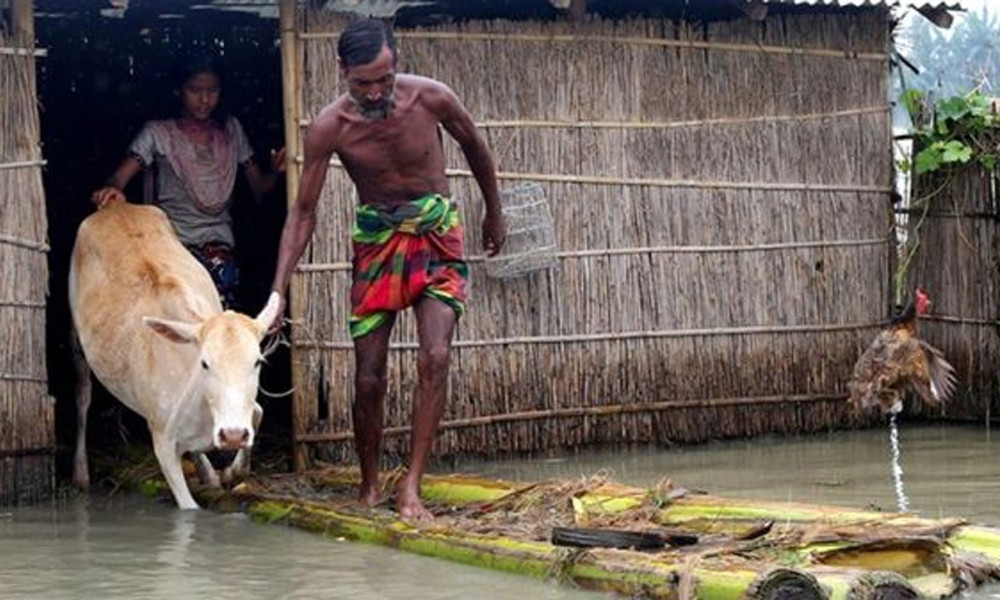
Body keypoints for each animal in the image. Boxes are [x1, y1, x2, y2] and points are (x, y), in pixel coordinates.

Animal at [69, 199, 282, 508]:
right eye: (204, 363)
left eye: (257, 361)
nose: (232, 435)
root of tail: (116, 204)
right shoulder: (162, 440)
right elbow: (189, 509)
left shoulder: (243, 414)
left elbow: (258, 413)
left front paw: (230, 473)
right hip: (75, 336)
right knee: (82, 396)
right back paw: (80, 473)